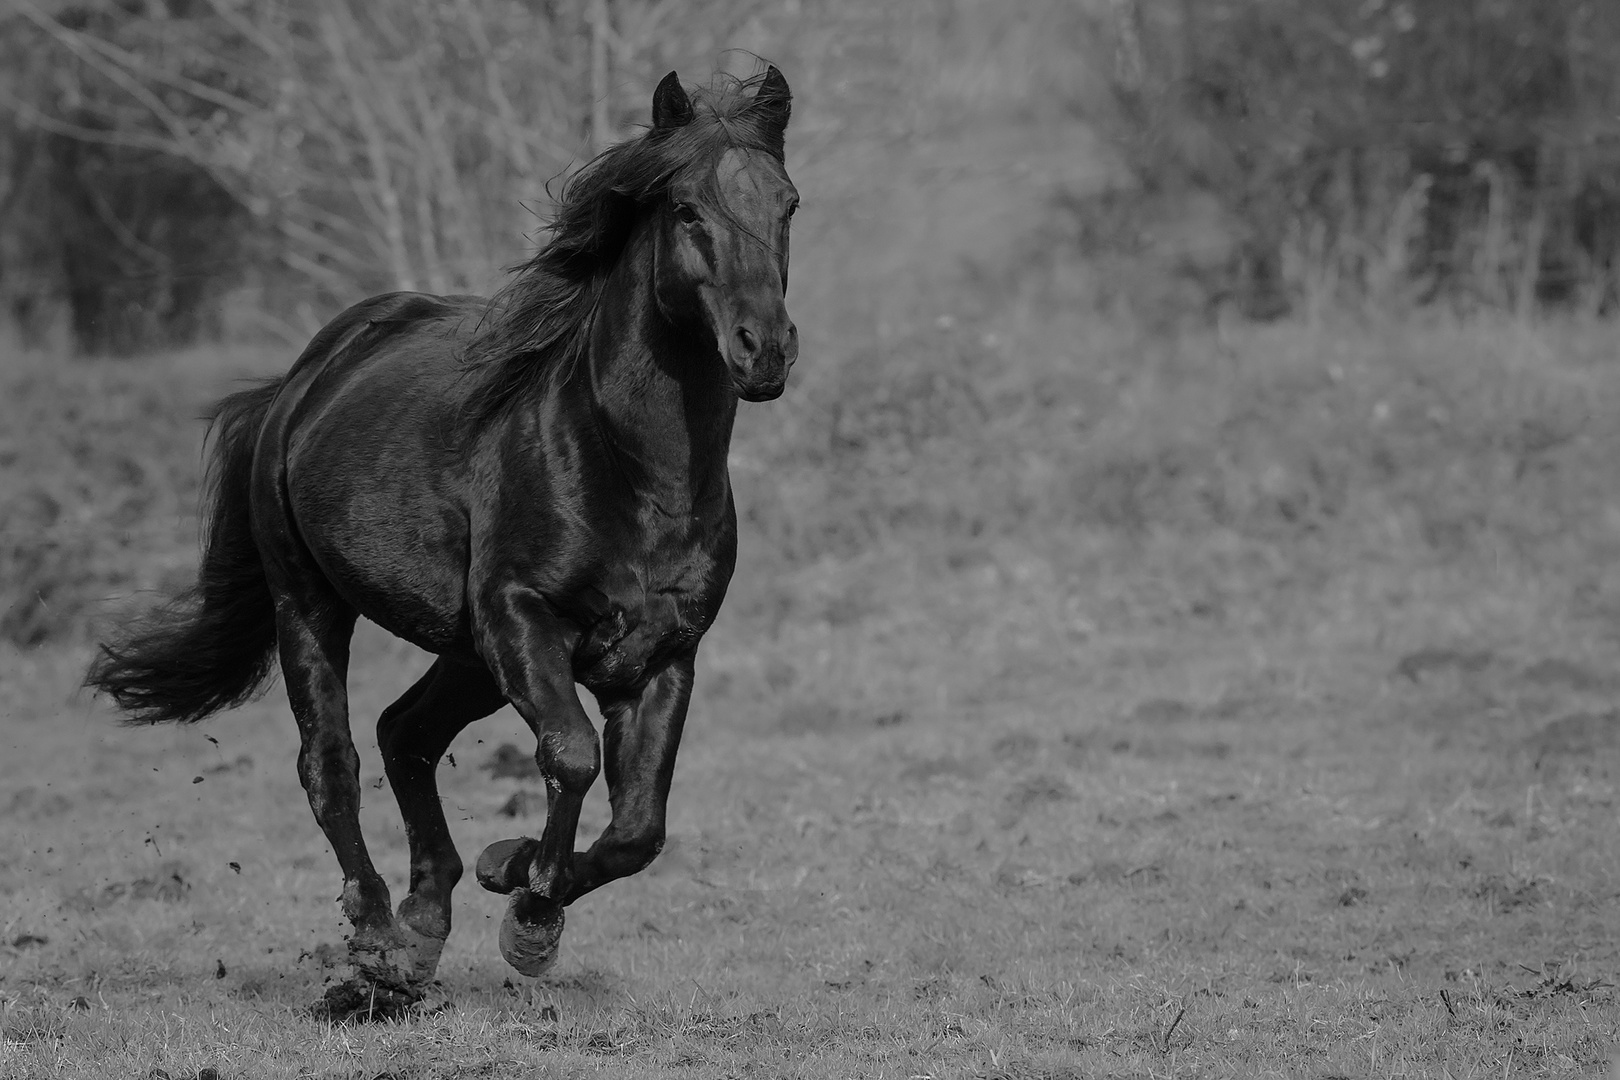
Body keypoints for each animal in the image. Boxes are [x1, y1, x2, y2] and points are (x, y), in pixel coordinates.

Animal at [83, 65, 803, 1016]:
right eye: (687, 210)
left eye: (788, 203)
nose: (766, 351)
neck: (632, 473)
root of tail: (303, 376)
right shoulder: (520, 618)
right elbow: (571, 756)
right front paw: (529, 910)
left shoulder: (663, 655)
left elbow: (640, 827)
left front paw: (515, 879)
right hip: (311, 603)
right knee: (334, 763)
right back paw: (377, 940)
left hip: (467, 657)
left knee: (404, 733)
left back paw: (425, 924)